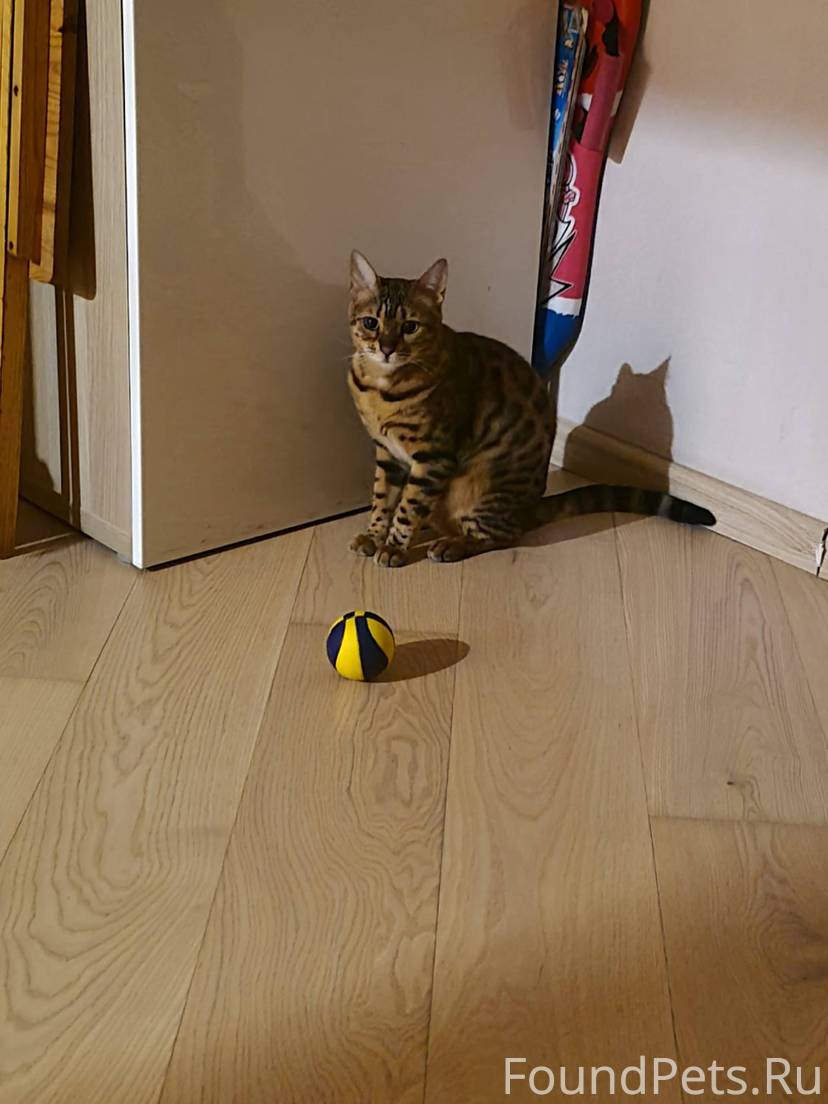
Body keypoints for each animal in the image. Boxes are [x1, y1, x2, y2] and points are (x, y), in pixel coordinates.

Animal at [347, 251, 714, 567]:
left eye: (410, 327)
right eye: (371, 323)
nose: (386, 348)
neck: (381, 388)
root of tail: (532, 506)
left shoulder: (434, 457)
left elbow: (407, 508)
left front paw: (394, 547)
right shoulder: (388, 454)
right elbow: (382, 498)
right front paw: (374, 536)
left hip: (480, 486)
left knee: (502, 536)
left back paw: (451, 544)